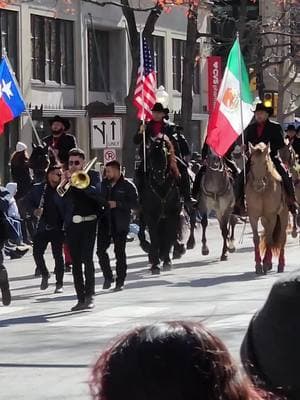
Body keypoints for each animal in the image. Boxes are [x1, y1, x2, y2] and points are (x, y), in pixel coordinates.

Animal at [142, 138, 182, 276]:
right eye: (150, 156)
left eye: (164, 156)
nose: (159, 177)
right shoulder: (151, 215)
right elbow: (154, 238)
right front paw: (155, 265)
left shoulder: (173, 213)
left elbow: (169, 236)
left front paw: (167, 261)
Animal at [245, 143, 290, 276]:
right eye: (252, 162)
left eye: (265, 163)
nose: (258, 185)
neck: (263, 191)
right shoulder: (253, 216)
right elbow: (256, 239)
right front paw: (258, 265)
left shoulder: (272, 215)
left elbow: (270, 238)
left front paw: (264, 264)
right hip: (264, 219)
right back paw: (269, 263)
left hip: (283, 215)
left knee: (282, 237)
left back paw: (280, 264)